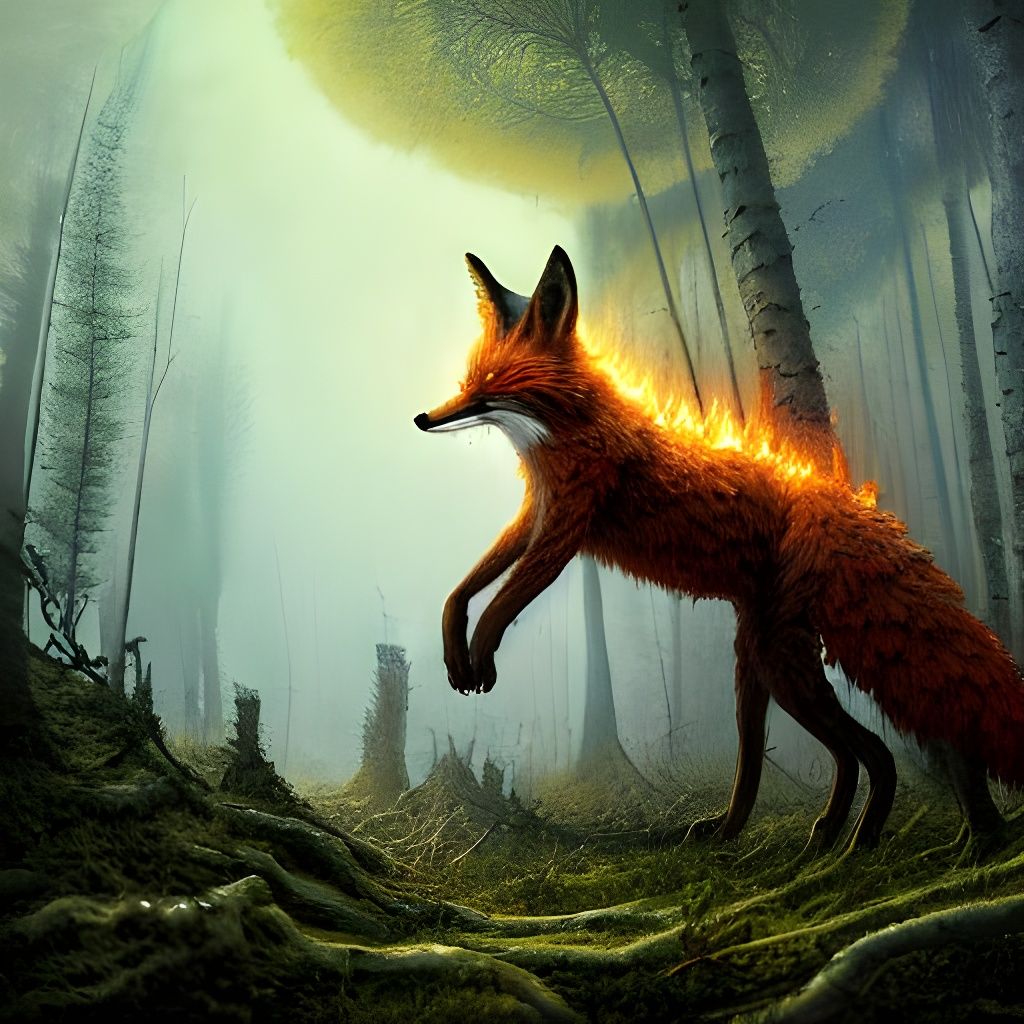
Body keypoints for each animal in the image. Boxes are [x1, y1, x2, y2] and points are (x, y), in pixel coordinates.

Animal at [414, 245, 1024, 851]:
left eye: (491, 381)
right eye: (468, 379)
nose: (423, 417)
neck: (563, 435)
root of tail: (842, 506)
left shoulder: (567, 524)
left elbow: (508, 596)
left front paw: (482, 653)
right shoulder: (535, 512)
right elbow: (466, 586)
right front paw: (455, 646)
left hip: (778, 660)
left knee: (874, 754)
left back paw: (855, 844)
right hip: (761, 658)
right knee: (825, 760)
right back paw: (775, 837)